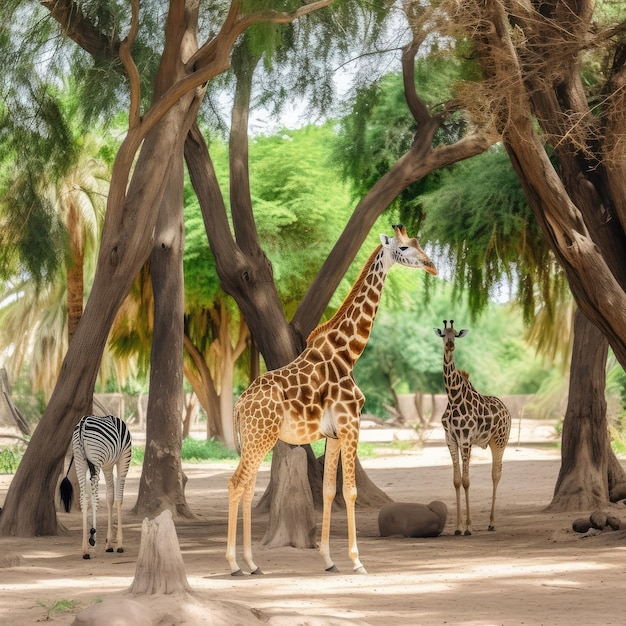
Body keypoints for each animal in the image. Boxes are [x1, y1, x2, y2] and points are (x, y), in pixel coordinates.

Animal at [59, 414, 132, 556]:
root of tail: (82, 423)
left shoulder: (107, 465)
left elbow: (110, 497)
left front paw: (109, 543)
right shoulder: (124, 458)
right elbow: (118, 499)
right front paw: (119, 543)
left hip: (80, 460)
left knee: (83, 498)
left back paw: (85, 548)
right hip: (96, 459)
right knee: (94, 498)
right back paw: (92, 538)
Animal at [224, 225, 434, 576]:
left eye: (420, 243)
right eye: (404, 247)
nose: (432, 266)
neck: (347, 355)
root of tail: (239, 405)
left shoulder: (333, 434)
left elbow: (327, 490)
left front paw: (328, 560)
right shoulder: (351, 425)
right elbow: (349, 491)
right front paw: (357, 561)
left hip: (256, 440)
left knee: (245, 485)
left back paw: (251, 564)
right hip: (261, 438)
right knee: (236, 483)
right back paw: (236, 564)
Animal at [432, 320, 510, 532]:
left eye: (456, 334)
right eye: (443, 334)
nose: (450, 345)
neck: (453, 398)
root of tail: (507, 410)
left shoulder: (466, 438)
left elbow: (467, 481)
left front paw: (468, 527)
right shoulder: (451, 439)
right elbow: (457, 481)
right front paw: (458, 527)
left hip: (499, 441)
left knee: (496, 474)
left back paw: (491, 522)